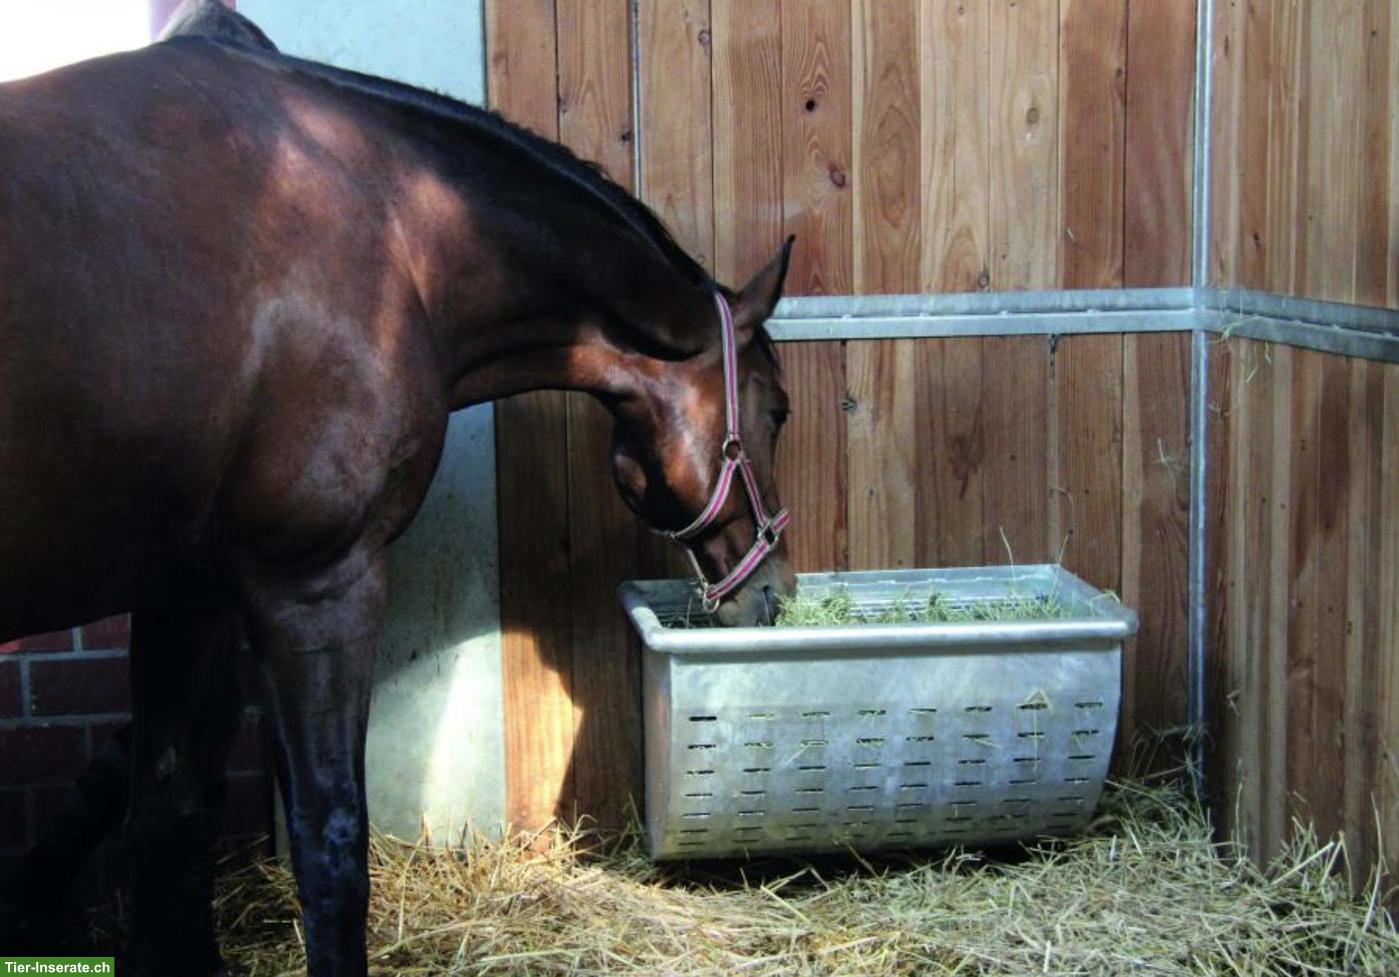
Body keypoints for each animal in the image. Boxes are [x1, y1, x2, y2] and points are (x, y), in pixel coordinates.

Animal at [0, 20, 795, 977]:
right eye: (778, 411)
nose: (773, 593)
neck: (391, 227)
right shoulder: (316, 585)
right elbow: (331, 839)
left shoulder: (185, 594)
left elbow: (166, 806)